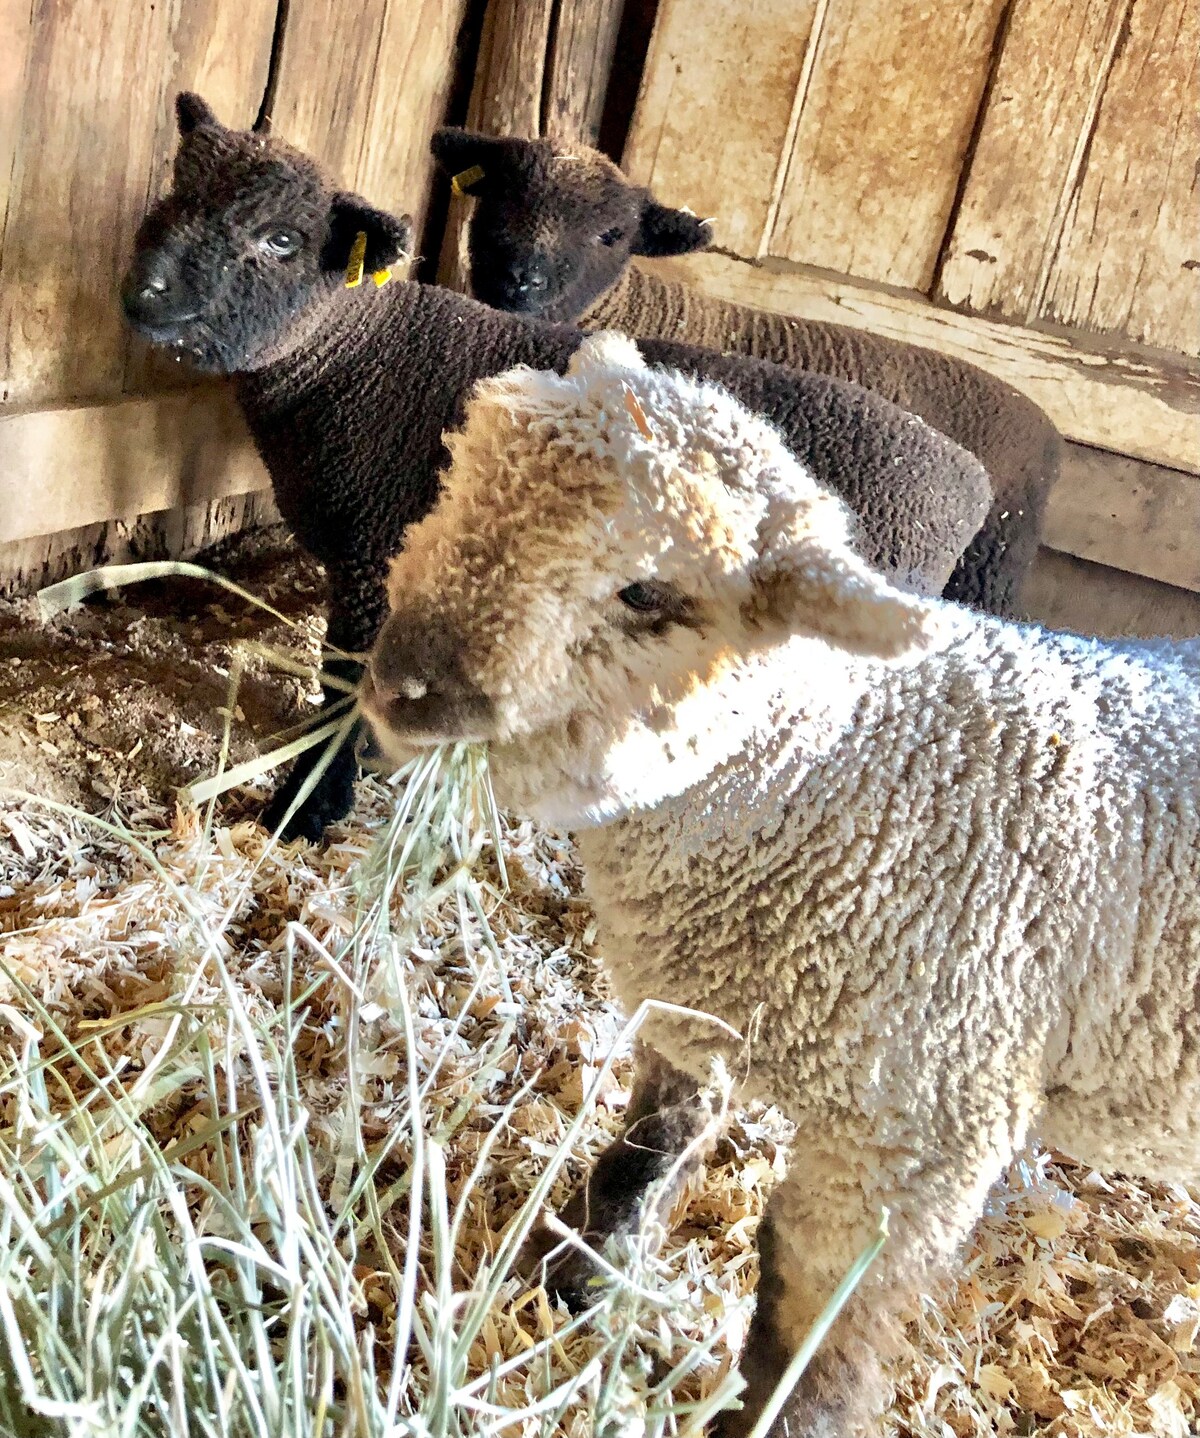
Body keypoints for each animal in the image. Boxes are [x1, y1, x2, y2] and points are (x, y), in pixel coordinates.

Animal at [119, 92, 989, 839]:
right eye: (174, 190)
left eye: (282, 240)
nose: (144, 291)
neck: (356, 356)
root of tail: (967, 480)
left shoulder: (376, 552)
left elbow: (343, 690)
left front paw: (304, 809)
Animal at [359, 330, 1197, 1432]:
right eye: (461, 478)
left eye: (645, 593)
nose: (401, 679)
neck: (842, 778)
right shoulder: (694, 1015)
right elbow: (642, 1158)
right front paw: (569, 1282)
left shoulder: (915, 1132)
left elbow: (811, 1331)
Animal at [431, 125, 1058, 618]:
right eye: (496, 194)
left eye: (611, 234)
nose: (519, 278)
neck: (635, 303)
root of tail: (1045, 423)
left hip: (990, 566)